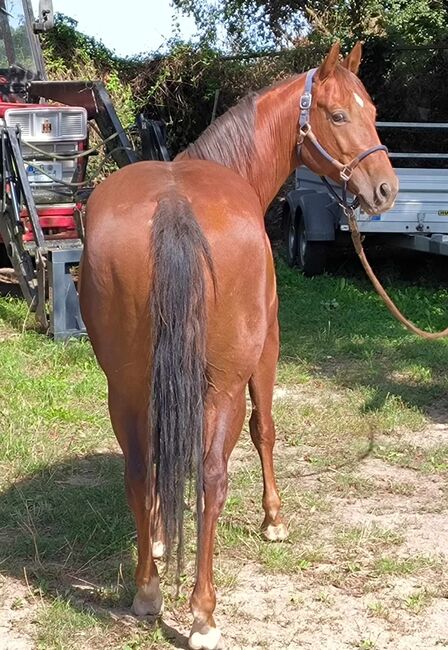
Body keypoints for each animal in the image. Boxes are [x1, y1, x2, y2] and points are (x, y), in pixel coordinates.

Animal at [79, 43, 398, 644]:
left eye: (372, 110)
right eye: (339, 115)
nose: (386, 189)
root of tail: (174, 209)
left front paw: (160, 537)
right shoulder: (267, 352)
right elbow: (265, 429)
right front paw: (275, 519)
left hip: (125, 386)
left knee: (140, 466)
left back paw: (148, 589)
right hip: (223, 384)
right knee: (213, 476)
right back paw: (203, 614)